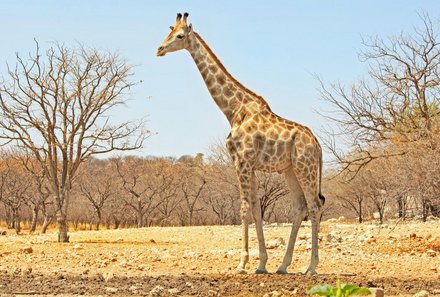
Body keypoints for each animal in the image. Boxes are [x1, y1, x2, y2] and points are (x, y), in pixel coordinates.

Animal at [156, 12, 324, 274]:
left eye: (180, 36)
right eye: (170, 31)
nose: (159, 49)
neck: (233, 110)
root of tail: (317, 144)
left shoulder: (242, 162)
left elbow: (244, 209)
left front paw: (242, 262)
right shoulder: (249, 165)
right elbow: (255, 209)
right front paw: (262, 263)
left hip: (305, 167)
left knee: (314, 205)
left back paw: (311, 267)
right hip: (289, 169)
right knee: (300, 206)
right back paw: (283, 265)